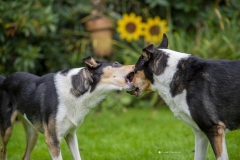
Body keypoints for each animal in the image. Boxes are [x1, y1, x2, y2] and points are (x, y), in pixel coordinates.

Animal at [0, 57, 134, 159]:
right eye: (116, 63)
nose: (135, 66)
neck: (76, 91)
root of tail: (4, 80)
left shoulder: (71, 134)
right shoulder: (53, 141)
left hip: (33, 133)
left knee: (25, 156)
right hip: (7, 130)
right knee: (3, 149)